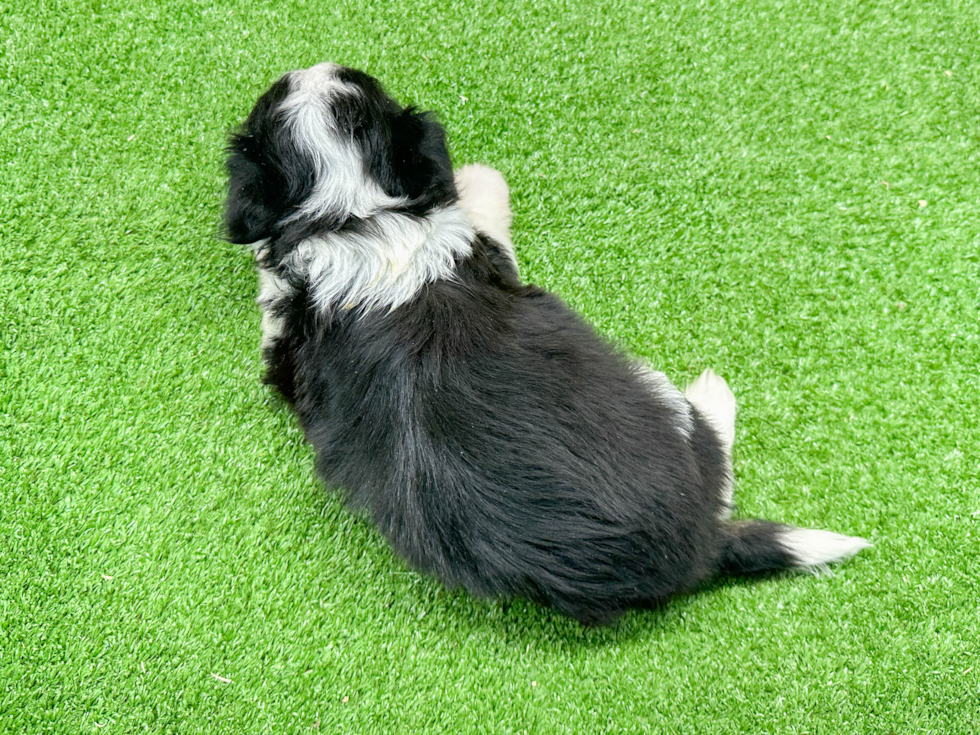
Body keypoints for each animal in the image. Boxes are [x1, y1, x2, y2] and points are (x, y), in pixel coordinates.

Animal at [226, 64, 868, 628]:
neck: (352, 213)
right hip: (659, 404)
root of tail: (702, 550)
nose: (314, 66)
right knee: (717, 456)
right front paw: (480, 174)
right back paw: (714, 392)